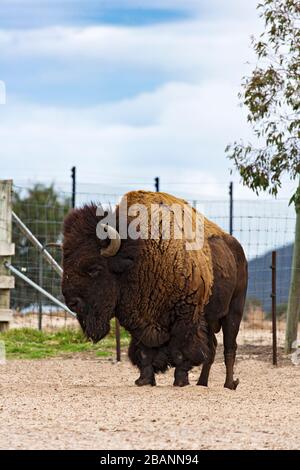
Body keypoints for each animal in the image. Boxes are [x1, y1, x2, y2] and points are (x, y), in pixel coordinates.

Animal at [62, 190, 247, 390]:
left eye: (94, 269)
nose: (72, 302)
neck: (139, 255)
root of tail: (237, 250)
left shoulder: (186, 318)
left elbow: (181, 352)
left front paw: (180, 381)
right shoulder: (140, 322)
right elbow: (144, 352)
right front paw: (143, 380)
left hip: (233, 312)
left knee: (229, 348)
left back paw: (229, 384)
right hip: (211, 319)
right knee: (212, 348)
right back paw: (202, 383)